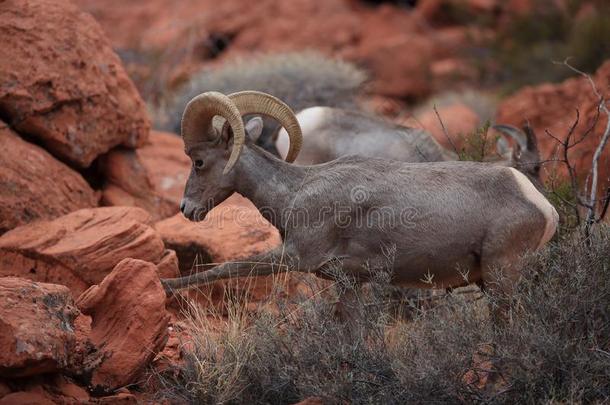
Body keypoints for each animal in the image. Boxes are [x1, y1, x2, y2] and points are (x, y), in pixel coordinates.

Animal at [160, 91, 556, 300]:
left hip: (501, 279)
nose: (186, 208)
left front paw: (166, 286)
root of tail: (545, 210)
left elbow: (228, 267)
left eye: (198, 161)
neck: (296, 192)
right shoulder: (348, 282)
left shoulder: (296, 256)